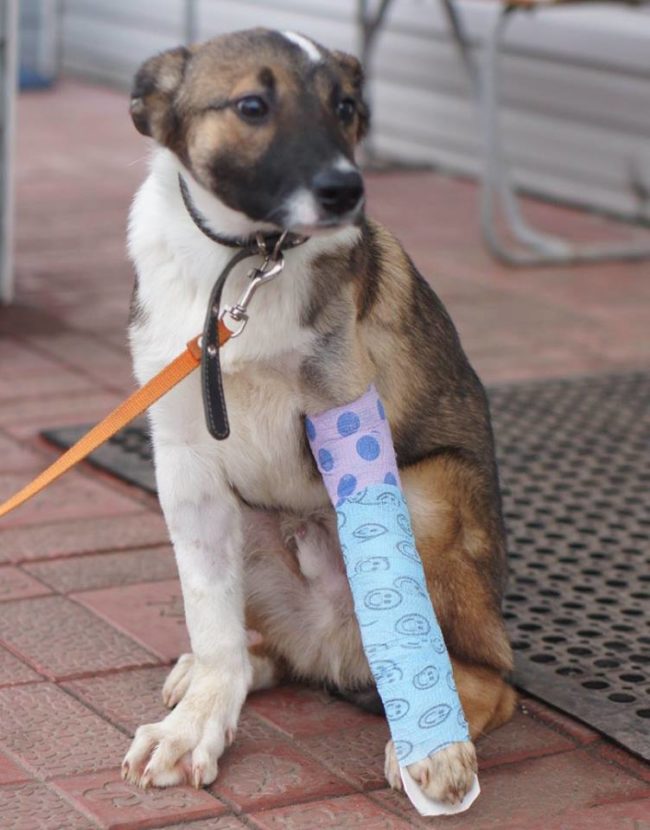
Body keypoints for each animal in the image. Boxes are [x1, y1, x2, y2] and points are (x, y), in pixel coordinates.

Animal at [123, 27, 512, 808]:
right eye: (251, 105)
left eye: (346, 108)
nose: (346, 190)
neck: (242, 267)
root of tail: (335, 650)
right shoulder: (182, 459)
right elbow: (210, 619)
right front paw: (195, 726)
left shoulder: (347, 418)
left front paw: (433, 743)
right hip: (243, 519)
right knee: (258, 647)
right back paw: (227, 670)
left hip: (430, 496)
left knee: (493, 679)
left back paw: (434, 739)